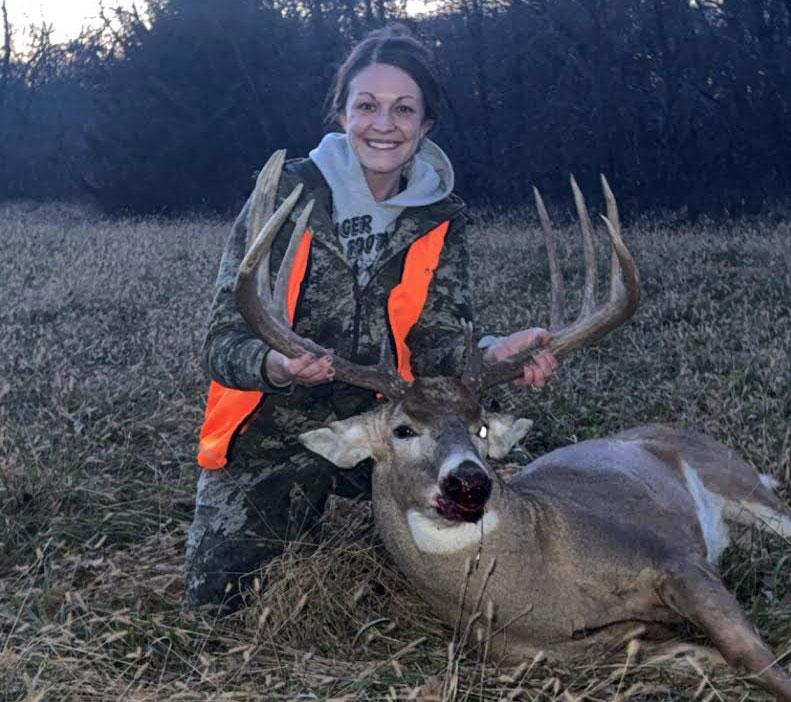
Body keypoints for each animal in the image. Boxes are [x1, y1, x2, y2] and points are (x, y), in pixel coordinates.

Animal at [233, 154, 791, 700]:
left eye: (480, 427)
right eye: (403, 430)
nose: (469, 481)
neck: (547, 582)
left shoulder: (674, 559)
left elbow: (752, 657)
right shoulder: (575, 648)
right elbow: (711, 657)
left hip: (737, 480)